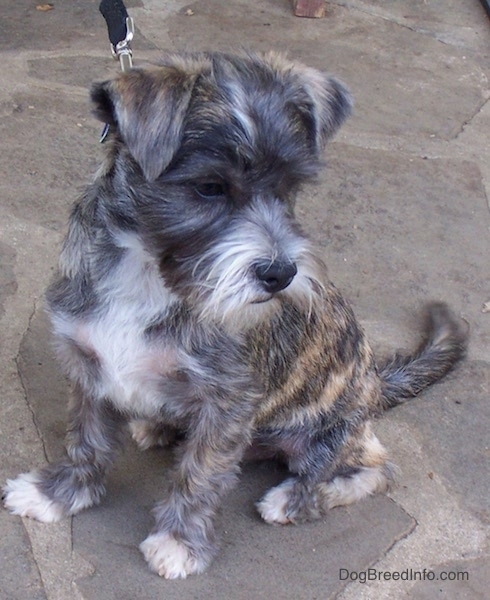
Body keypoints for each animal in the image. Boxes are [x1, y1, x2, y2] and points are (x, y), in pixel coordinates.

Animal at [1, 54, 468, 580]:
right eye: (209, 187)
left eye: (289, 190)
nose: (280, 273)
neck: (149, 274)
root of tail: (375, 384)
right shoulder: (89, 365)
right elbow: (86, 441)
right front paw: (58, 494)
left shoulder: (226, 406)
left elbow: (199, 475)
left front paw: (179, 542)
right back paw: (158, 426)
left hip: (330, 433)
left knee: (371, 468)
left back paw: (294, 498)